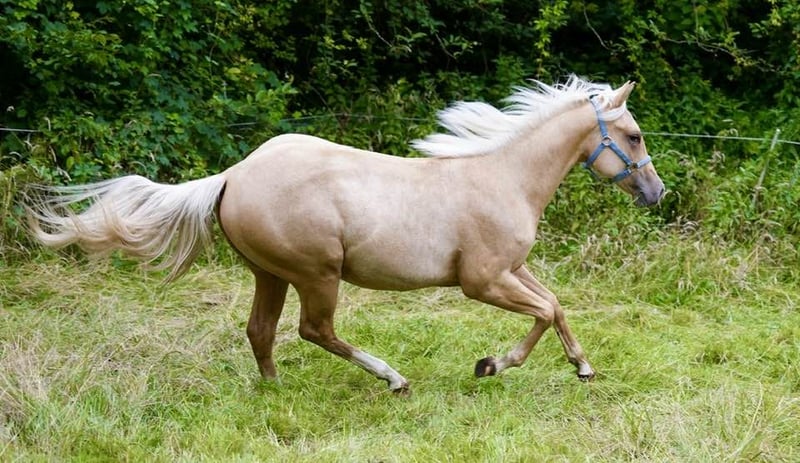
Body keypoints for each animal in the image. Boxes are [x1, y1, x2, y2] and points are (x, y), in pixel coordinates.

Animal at [26, 75, 665, 393]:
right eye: (633, 136)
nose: (656, 193)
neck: (504, 177)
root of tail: (233, 174)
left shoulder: (511, 269)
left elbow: (554, 305)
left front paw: (582, 368)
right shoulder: (482, 280)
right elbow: (542, 312)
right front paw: (492, 365)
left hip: (270, 273)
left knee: (261, 331)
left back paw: (275, 390)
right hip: (317, 273)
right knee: (315, 330)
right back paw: (393, 378)